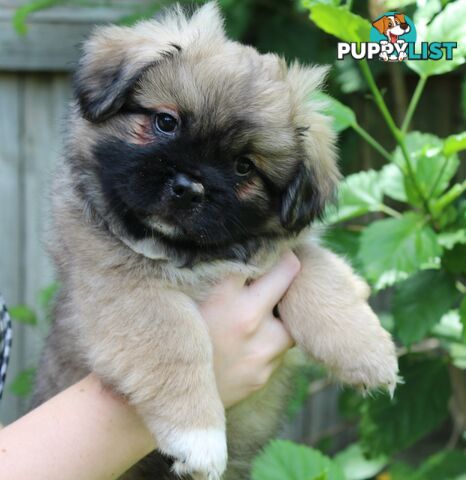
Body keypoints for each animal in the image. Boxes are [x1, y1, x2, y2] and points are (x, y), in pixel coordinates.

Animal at [31, 4, 396, 480]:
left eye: (244, 167)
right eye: (166, 123)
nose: (189, 186)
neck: (195, 255)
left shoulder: (283, 254)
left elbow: (320, 274)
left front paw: (368, 352)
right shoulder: (126, 290)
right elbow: (179, 343)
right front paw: (199, 436)